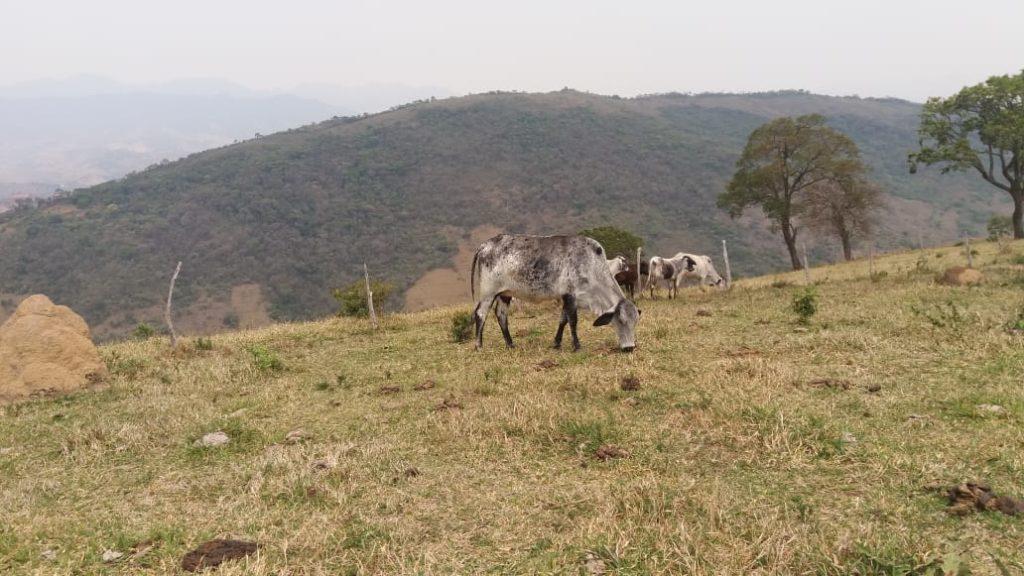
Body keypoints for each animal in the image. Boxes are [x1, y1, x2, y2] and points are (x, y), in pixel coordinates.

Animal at [468, 231, 638, 350]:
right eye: (621, 320)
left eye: (635, 321)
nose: (629, 347)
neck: (592, 265)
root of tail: (485, 245)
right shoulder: (571, 296)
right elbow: (573, 321)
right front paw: (577, 345)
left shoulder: (566, 297)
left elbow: (563, 320)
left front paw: (557, 343)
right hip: (488, 293)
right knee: (481, 314)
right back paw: (479, 345)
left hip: (505, 294)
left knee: (501, 315)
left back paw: (510, 344)